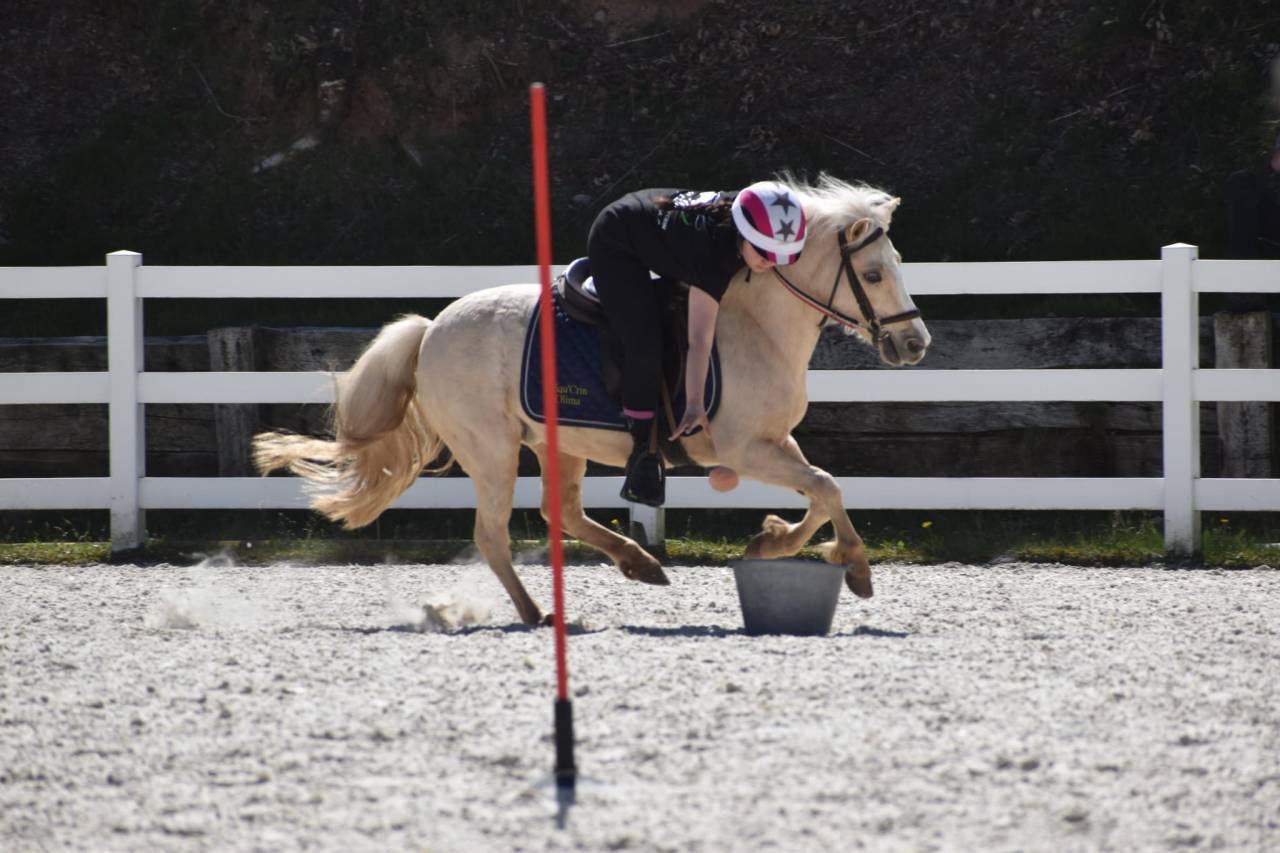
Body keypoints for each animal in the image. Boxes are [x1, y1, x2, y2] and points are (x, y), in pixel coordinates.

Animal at [253, 175, 931, 625]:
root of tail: (432, 330)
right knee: (493, 534)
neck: (756, 323)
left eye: (898, 263)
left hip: (559, 442)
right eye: (873, 275)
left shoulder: (773, 442)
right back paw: (536, 612)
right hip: (492, 450)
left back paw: (638, 564)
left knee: (563, 513)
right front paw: (856, 568)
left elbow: (821, 489)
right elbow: (828, 486)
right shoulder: (744, 448)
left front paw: (774, 540)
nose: (915, 343)